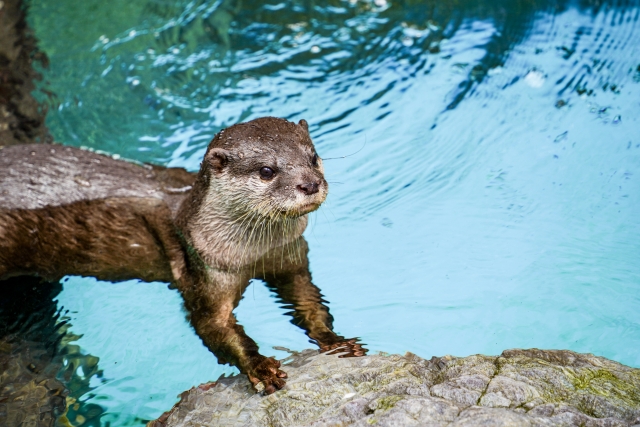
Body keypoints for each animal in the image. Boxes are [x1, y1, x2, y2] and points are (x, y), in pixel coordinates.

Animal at [0, 116, 364, 394]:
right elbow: (213, 326)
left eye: (313, 156)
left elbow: (308, 300)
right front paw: (261, 368)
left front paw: (335, 340)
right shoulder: (205, 272)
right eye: (266, 171)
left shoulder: (290, 258)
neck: (251, 255)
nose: (310, 184)